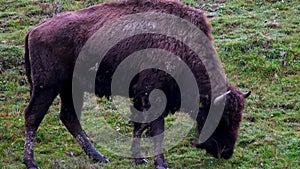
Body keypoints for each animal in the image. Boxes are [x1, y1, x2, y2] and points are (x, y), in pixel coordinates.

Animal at [22, 0, 251, 169]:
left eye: (238, 118)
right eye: (221, 118)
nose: (226, 152)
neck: (182, 46)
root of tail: (34, 30)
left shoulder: (142, 97)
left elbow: (139, 126)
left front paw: (139, 159)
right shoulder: (152, 96)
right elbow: (155, 130)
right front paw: (161, 163)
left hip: (70, 89)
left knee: (69, 117)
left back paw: (99, 156)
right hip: (47, 87)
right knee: (33, 116)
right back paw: (31, 162)